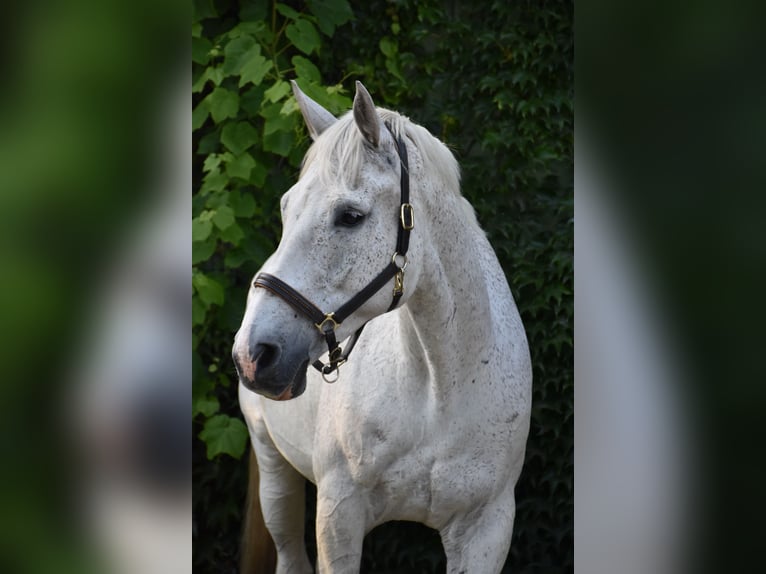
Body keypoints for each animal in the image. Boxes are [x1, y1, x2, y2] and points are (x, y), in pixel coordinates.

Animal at [233, 81, 532, 573]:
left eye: (350, 216)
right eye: (285, 208)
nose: (253, 354)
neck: (439, 390)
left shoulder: (487, 527)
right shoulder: (339, 516)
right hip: (274, 468)